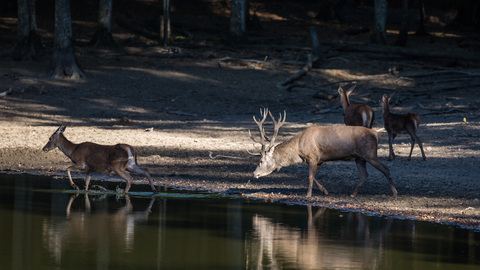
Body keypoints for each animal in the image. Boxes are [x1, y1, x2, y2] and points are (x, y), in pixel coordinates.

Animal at [248, 108, 398, 197]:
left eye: (261, 161)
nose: (254, 174)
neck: (299, 149)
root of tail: (377, 135)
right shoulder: (318, 159)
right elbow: (313, 176)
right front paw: (325, 191)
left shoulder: (313, 156)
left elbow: (309, 176)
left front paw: (308, 195)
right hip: (359, 157)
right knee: (364, 175)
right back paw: (352, 194)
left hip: (370, 153)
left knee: (385, 168)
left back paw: (395, 192)